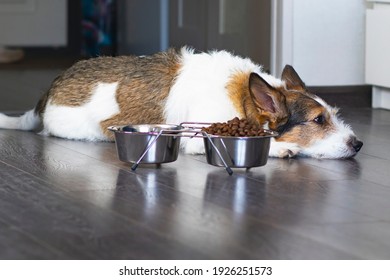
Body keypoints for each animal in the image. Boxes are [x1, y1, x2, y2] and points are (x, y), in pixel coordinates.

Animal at [0, 47, 362, 159]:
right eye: (318, 120)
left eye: (333, 115)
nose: (358, 144)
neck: (244, 98)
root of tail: (47, 94)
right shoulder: (197, 138)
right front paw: (281, 148)